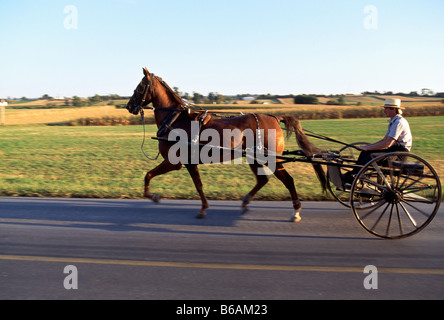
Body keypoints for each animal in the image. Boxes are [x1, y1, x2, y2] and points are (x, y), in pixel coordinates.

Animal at [125, 67, 326, 222]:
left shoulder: (175, 162)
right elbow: (198, 185)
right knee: (262, 180)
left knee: (288, 180)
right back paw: (245, 202)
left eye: (140, 86)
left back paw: (296, 211)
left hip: (272, 159)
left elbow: (149, 175)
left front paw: (154, 196)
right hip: (254, 158)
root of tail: (275, 117)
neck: (175, 120)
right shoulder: (189, 163)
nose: (129, 106)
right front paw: (203, 208)